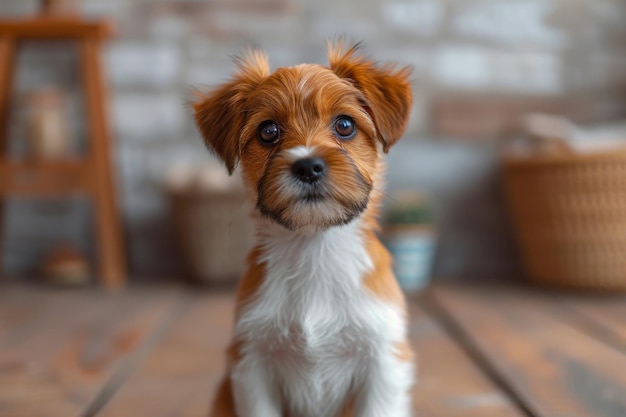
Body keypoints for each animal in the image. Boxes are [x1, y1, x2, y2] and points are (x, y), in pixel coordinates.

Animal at [193, 41, 412, 416]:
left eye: (344, 125)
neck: (315, 248)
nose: (308, 166)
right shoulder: (252, 363)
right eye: (268, 131)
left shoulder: (383, 362)